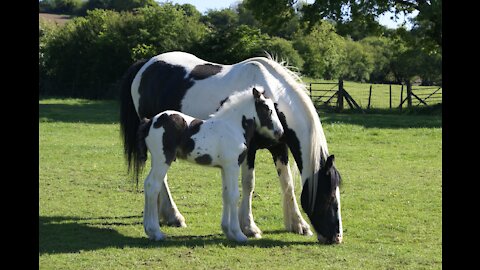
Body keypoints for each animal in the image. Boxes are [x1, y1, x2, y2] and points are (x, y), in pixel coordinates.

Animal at [137, 87, 284, 243]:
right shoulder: (232, 166)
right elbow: (234, 195)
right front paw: (239, 234)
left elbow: (226, 194)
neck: (233, 127)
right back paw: (156, 232)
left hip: (157, 159)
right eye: (267, 109)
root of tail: (150, 122)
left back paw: (149, 230)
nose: (280, 132)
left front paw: (228, 231)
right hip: (163, 159)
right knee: (153, 185)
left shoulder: (224, 168)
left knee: (147, 184)